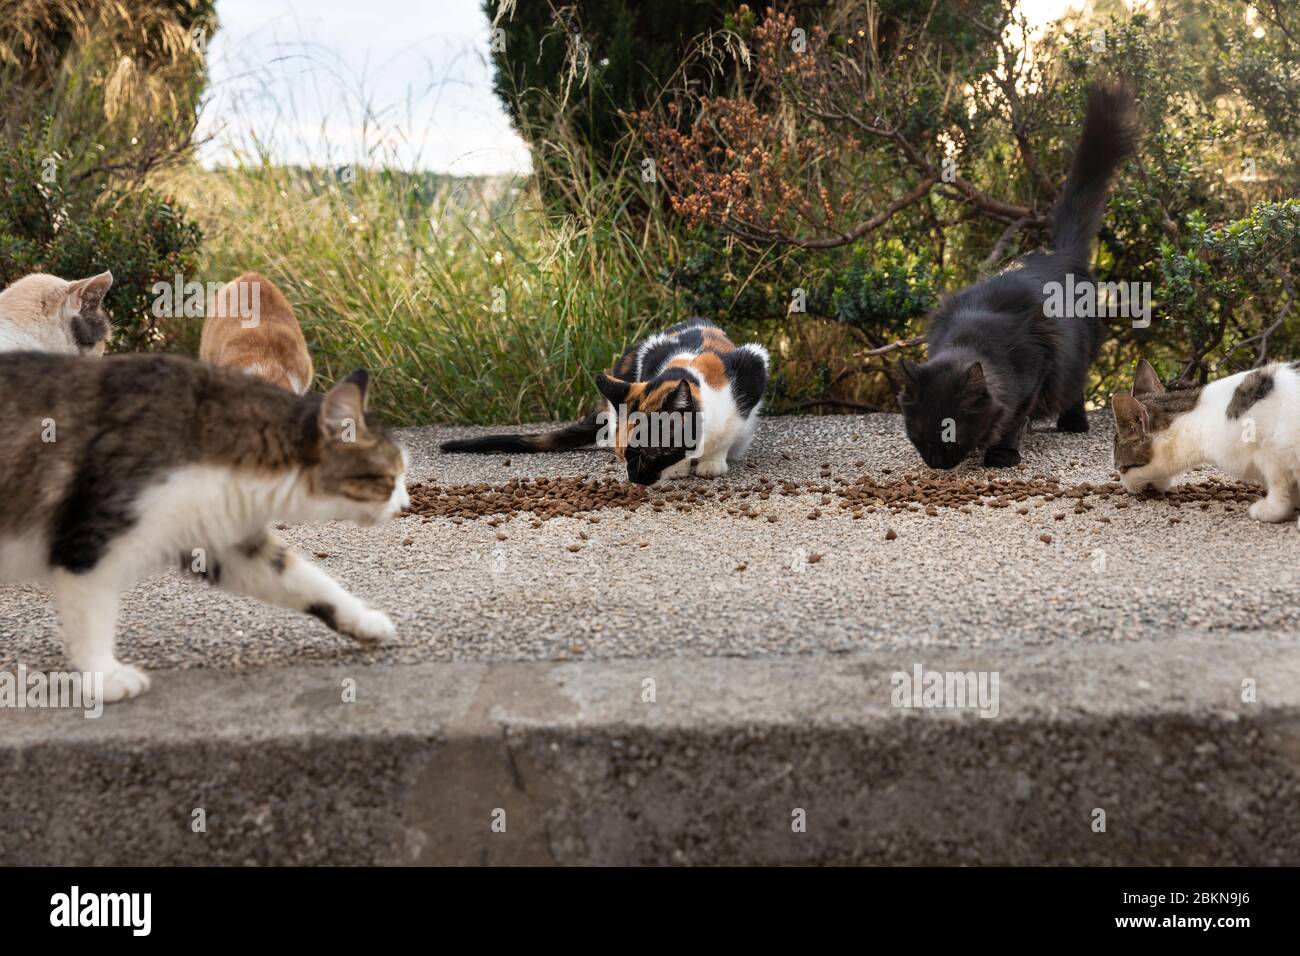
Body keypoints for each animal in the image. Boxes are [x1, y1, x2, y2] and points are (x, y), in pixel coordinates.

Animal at [0, 351, 408, 702]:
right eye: (389, 479)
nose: (404, 505)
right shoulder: (90, 539)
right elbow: (91, 618)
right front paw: (105, 676)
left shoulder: (218, 539)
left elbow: (304, 580)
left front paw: (363, 620)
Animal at [441, 319, 764, 486]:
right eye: (623, 457)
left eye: (652, 453)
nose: (634, 480)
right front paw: (678, 468)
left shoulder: (753, 365)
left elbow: (730, 430)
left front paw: (712, 462)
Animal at [904, 82, 1138, 468]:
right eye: (921, 439)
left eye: (951, 438)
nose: (936, 463)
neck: (974, 339)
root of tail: (1061, 253)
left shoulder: (1037, 368)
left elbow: (1014, 416)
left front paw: (1002, 453)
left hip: (1078, 353)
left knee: (1075, 387)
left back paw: (1074, 423)